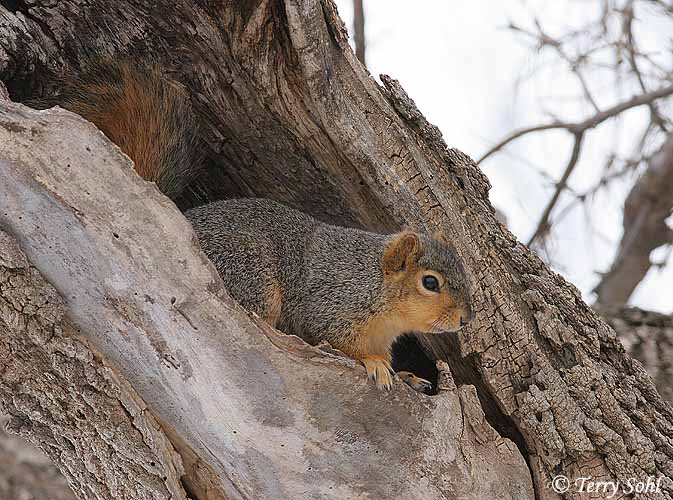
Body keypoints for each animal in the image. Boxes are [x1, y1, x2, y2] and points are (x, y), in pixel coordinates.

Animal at [38, 62, 473, 392]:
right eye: (430, 282)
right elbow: (334, 340)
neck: (377, 291)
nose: (466, 319)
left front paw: (404, 373)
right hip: (250, 270)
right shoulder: (329, 305)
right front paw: (375, 364)